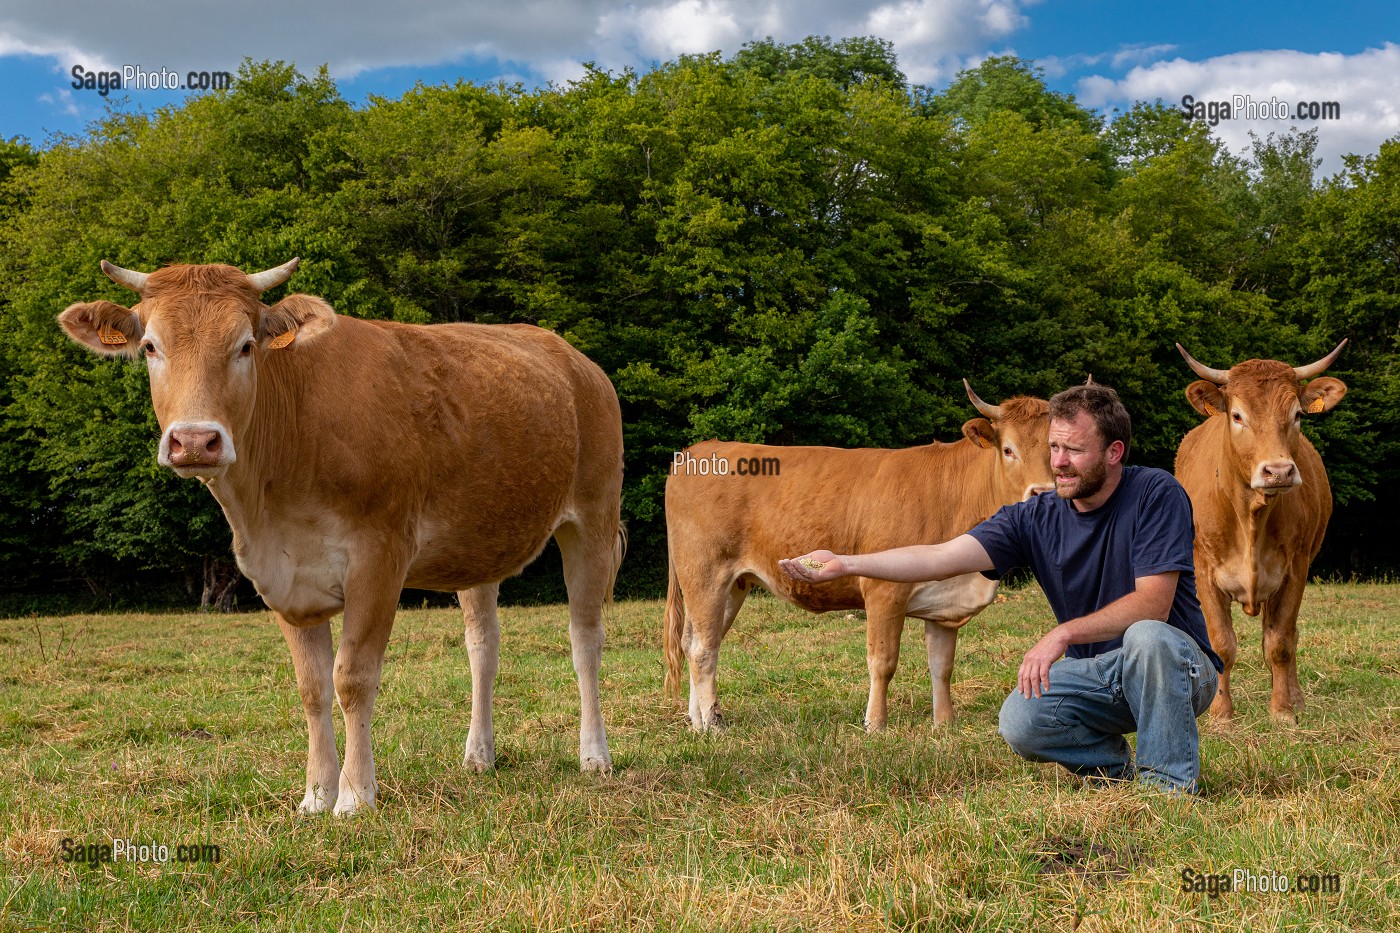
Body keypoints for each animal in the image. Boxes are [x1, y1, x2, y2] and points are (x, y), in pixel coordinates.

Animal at [58, 259, 625, 816]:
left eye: (245, 345)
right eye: (151, 347)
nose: (195, 440)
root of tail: (578, 361)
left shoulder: (380, 556)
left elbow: (352, 677)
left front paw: (354, 795)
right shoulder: (283, 575)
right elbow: (312, 687)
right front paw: (315, 794)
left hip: (593, 517)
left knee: (585, 638)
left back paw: (594, 755)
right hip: (477, 542)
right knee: (483, 644)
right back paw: (479, 755)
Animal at [663, 385, 1054, 731]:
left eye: (1055, 448)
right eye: (1008, 450)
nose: (1041, 493)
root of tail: (698, 450)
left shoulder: (945, 601)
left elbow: (942, 666)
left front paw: (944, 725)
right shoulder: (884, 590)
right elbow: (883, 662)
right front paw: (875, 725)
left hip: (732, 585)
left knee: (696, 641)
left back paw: (697, 723)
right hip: (705, 574)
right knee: (702, 650)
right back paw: (714, 725)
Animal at [1173, 341, 1348, 724]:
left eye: (1297, 414)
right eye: (1237, 416)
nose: (1279, 471)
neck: (1250, 519)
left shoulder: (1295, 569)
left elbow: (1280, 642)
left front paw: (1282, 711)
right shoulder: (1203, 570)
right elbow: (1221, 643)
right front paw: (1221, 715)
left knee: (1287, 636)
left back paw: (1295, 698)